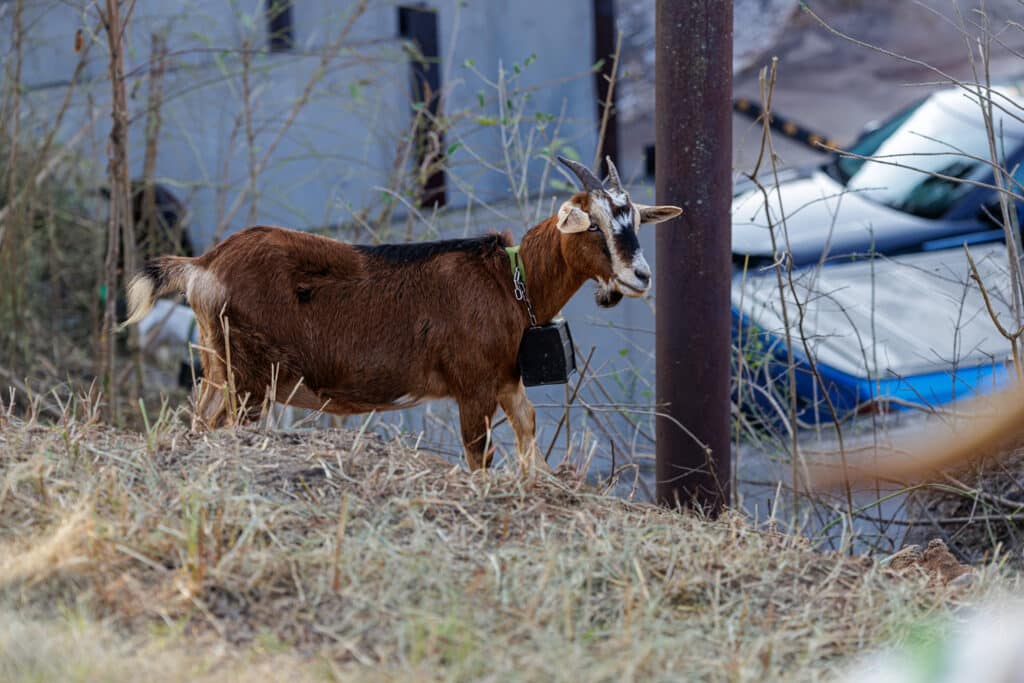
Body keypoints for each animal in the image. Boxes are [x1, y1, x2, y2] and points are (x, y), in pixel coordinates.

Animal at [122, 156, 681, 471]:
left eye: (635, 221)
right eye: (594, 226)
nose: (641, 277)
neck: (509, 280)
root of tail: (202, 265)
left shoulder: (506, 380)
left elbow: (528, 436)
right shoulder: (473, 386)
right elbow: (479, 458)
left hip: (218, 367)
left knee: (199, 421)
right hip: (250, 379)